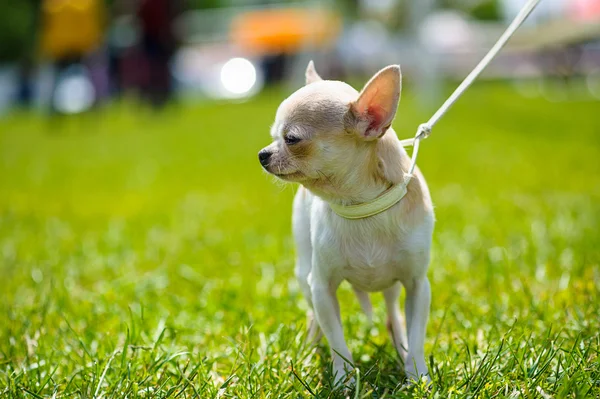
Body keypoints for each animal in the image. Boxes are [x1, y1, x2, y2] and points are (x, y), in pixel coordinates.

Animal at [260, 61, 434, 386]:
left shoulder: (418, 285)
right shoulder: (321, 288)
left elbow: (418, 334)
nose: (262, 154)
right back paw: (309, 352)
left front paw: (417, 376)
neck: (362, 207)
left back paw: (400, 344)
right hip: (305, 275)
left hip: (393, 285)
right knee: (314, 319)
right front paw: (343, 380)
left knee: (392, 312)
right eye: (273, 135)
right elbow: (337, 341)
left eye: (291, 139)